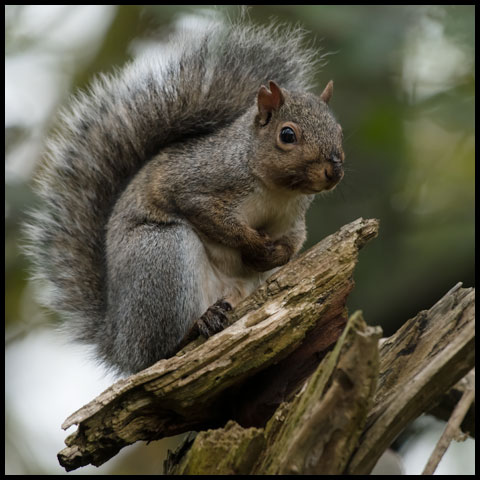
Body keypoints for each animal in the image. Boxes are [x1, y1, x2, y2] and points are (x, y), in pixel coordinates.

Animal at [24, 15, 344, 376]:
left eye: (338, 130)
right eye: (287, 135)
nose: (334, 170)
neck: (275, 189)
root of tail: (120, 342)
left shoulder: (293, 218)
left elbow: (294, 240)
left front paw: (271, 255)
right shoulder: (195, 184)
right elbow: (215, 219)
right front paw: (254, 245)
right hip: (162, 254)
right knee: (162, 348)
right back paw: (196, 325)